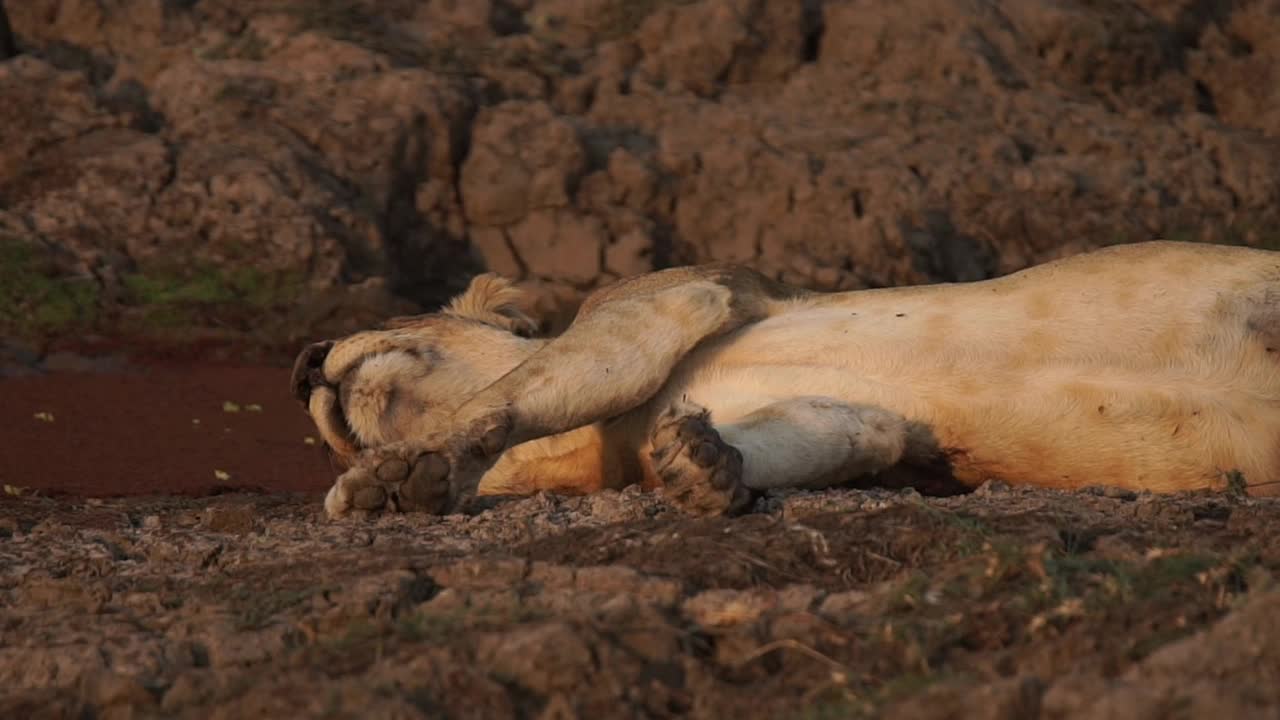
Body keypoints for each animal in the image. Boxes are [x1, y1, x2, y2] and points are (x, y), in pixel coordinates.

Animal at [288, 240, 1280, 515]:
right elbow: (849, 435)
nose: (299, 363)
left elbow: (518, 389)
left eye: (400, 316)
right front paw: (702, 467)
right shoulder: (888, 431)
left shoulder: (676, 292)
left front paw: (396, 477)